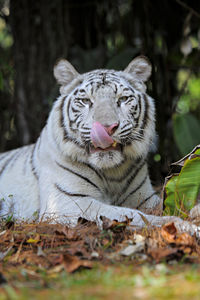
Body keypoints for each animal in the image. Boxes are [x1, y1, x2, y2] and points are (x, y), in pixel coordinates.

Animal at [0, 55, 199, 232]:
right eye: (86, 101)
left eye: (122, 99)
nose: (107, 128)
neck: (112, 173)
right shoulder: (68, 202)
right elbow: (130, 214)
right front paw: (179, 225)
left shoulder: (145, 198)